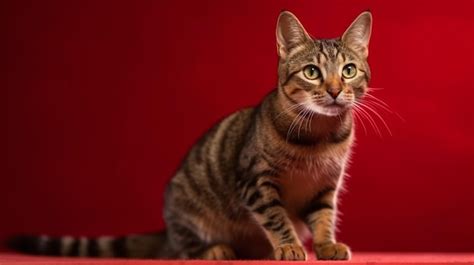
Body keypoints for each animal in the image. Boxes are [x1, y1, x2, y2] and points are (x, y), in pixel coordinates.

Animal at [9, 10, 374, 260]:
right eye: (312, 72)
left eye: (348, 71)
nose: (335, 91)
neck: (320, 136)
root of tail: (167, 231)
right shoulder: (255, 181)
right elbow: (275, 217)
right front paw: (288, 246)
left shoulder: (325, 186)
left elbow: (324, 217)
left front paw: (326, 245)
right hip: (186, 206)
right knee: (184, 248)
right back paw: (215, 250)